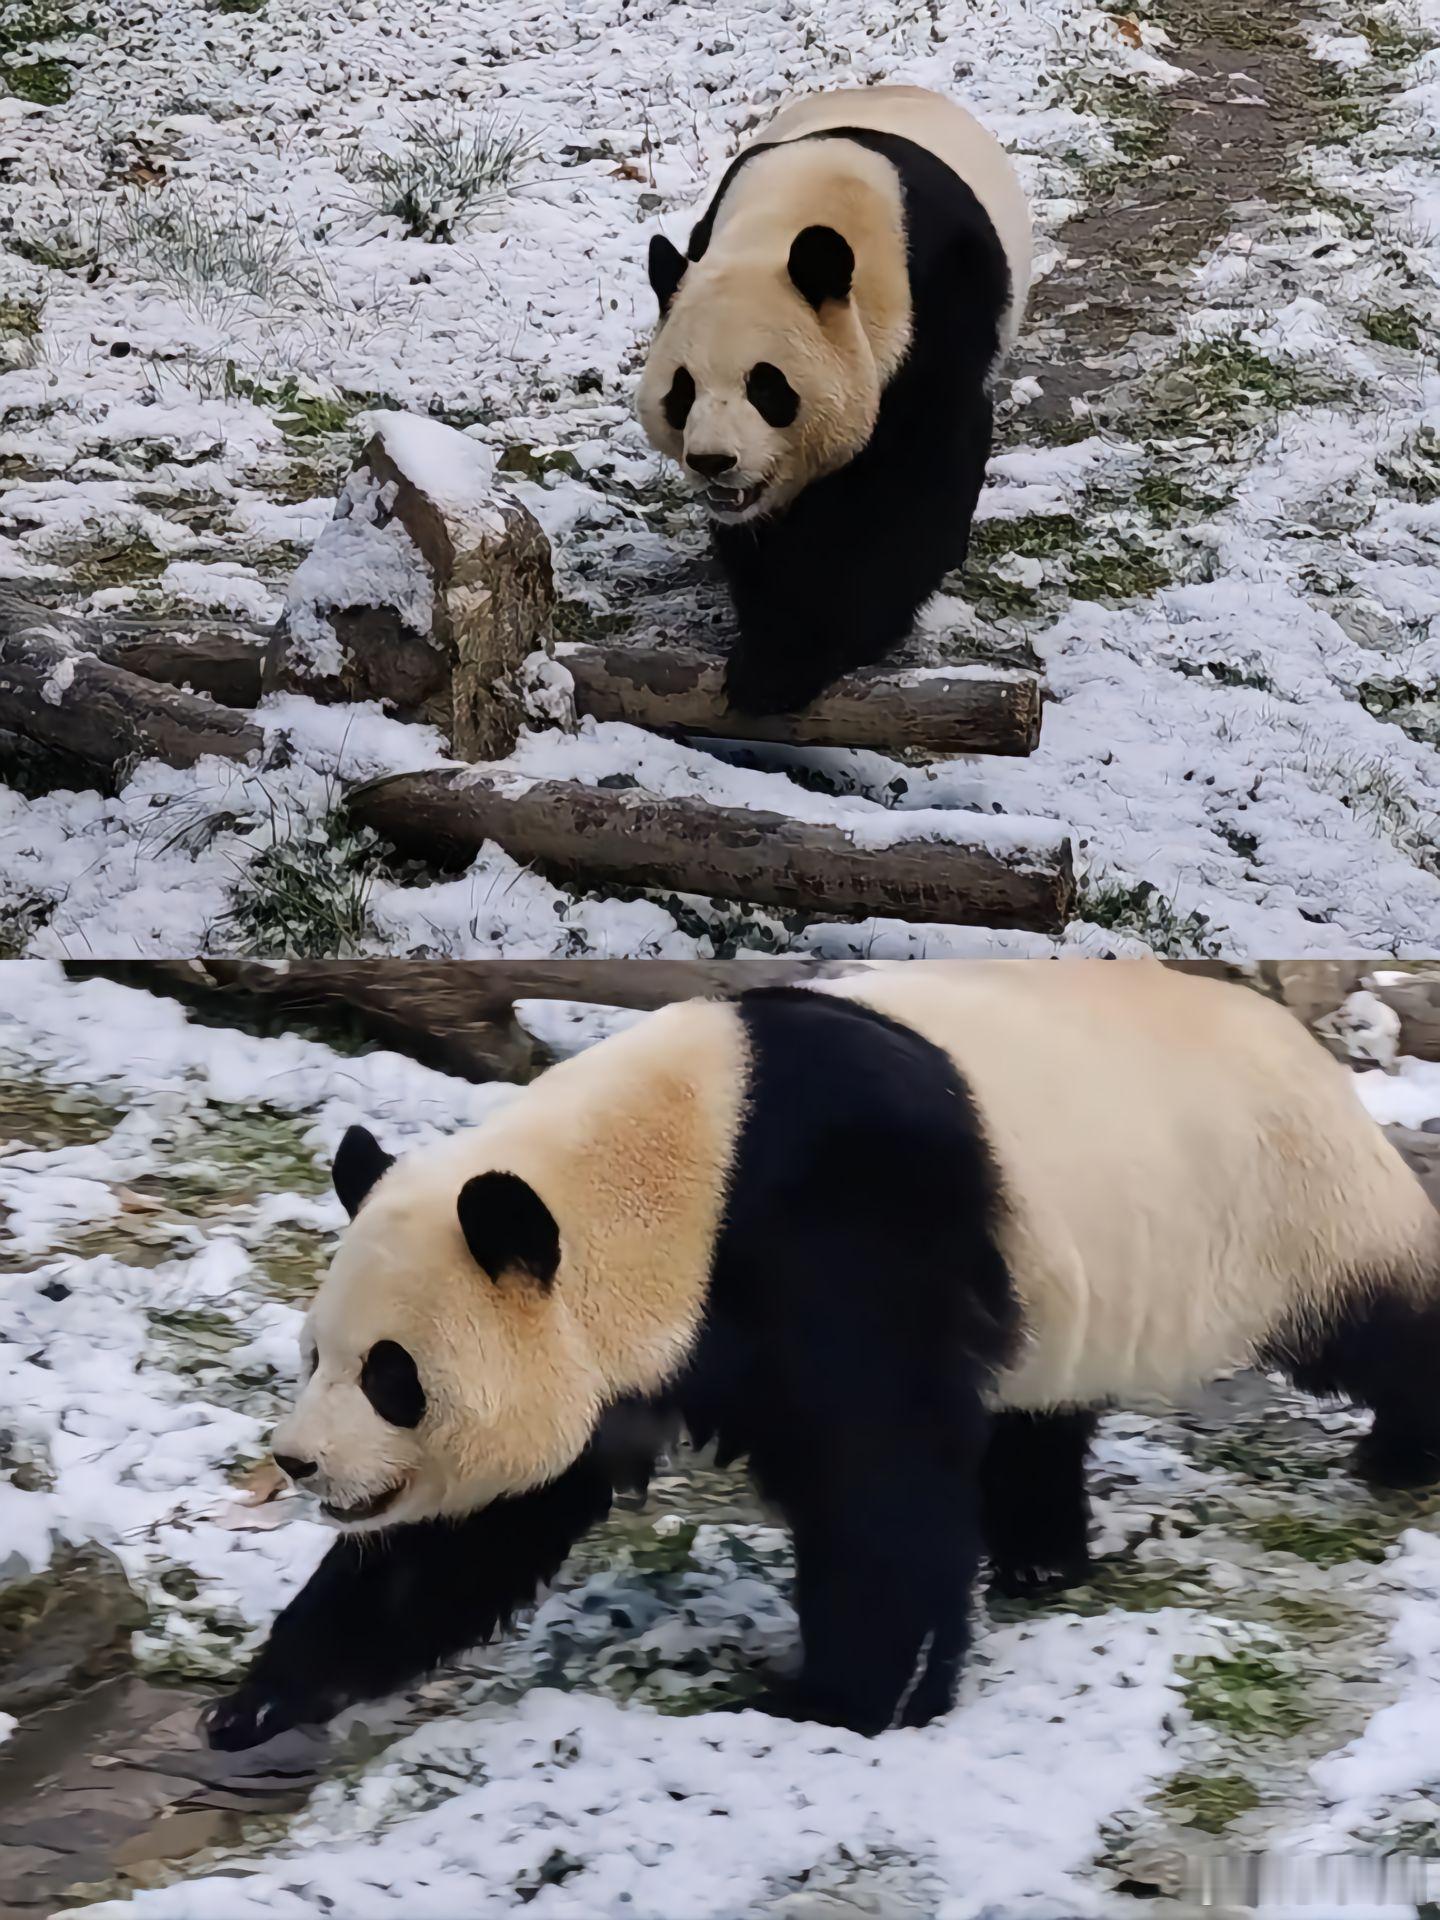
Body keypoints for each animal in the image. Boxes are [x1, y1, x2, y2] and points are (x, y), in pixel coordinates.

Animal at [203, 960, 1440, 1758]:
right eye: (313, 1355)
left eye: (392, 1378)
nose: (299, 1464)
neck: (671, 1170)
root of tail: (1309, 1050)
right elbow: (471, 1534)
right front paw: (256, 1703)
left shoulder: (835, 1230)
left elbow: (877, 1478)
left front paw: (843, 1703)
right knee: (1038, 1411)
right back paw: (1039, 1558)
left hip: (1282, 1205)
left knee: (1377, 1319)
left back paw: (1401, 1455)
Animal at [637, 84, 1029, 721]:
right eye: (683, 390)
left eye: (766, 387)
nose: (713, 462)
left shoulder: (937, 313)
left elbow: (911, 487)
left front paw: (794, 660)